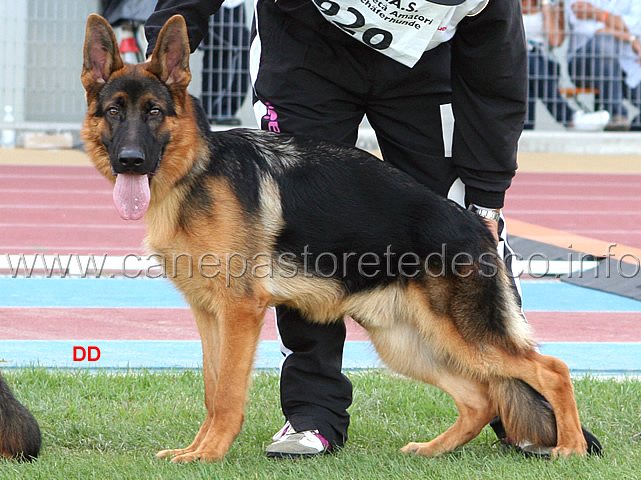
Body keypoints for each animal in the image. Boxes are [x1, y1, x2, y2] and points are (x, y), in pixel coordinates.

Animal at [82, 14, 592, 462]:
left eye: (154, 112)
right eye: (113, 112)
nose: (130, 161)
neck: (194, 173)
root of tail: (475, 226)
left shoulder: (240, 313)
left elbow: (226, 395)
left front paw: (208, 455)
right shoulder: (209, 315)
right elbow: (211, 390)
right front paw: (195, 449)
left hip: (465, 337)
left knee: (552, 370)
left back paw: (570, 448)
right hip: (409, 344)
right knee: (479, 399)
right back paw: (433, 450)